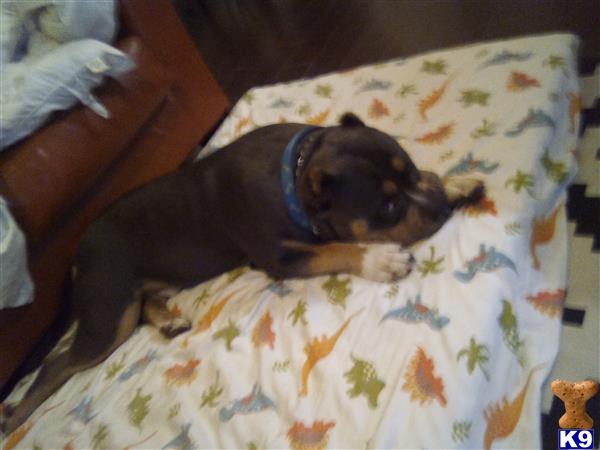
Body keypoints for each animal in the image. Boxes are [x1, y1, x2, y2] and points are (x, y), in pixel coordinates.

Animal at [0, 112, 480, 432]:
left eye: (411, 169)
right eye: (388, 208)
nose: (439, 207)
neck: (297, 175)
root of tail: (76, 254)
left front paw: (456, 182)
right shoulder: (281, 259)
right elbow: (337, 249)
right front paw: (380, 259)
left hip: (138, 292)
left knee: (145, 305)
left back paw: (168, 320)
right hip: (108, 314)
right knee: (57, 363)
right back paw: (14, 414)